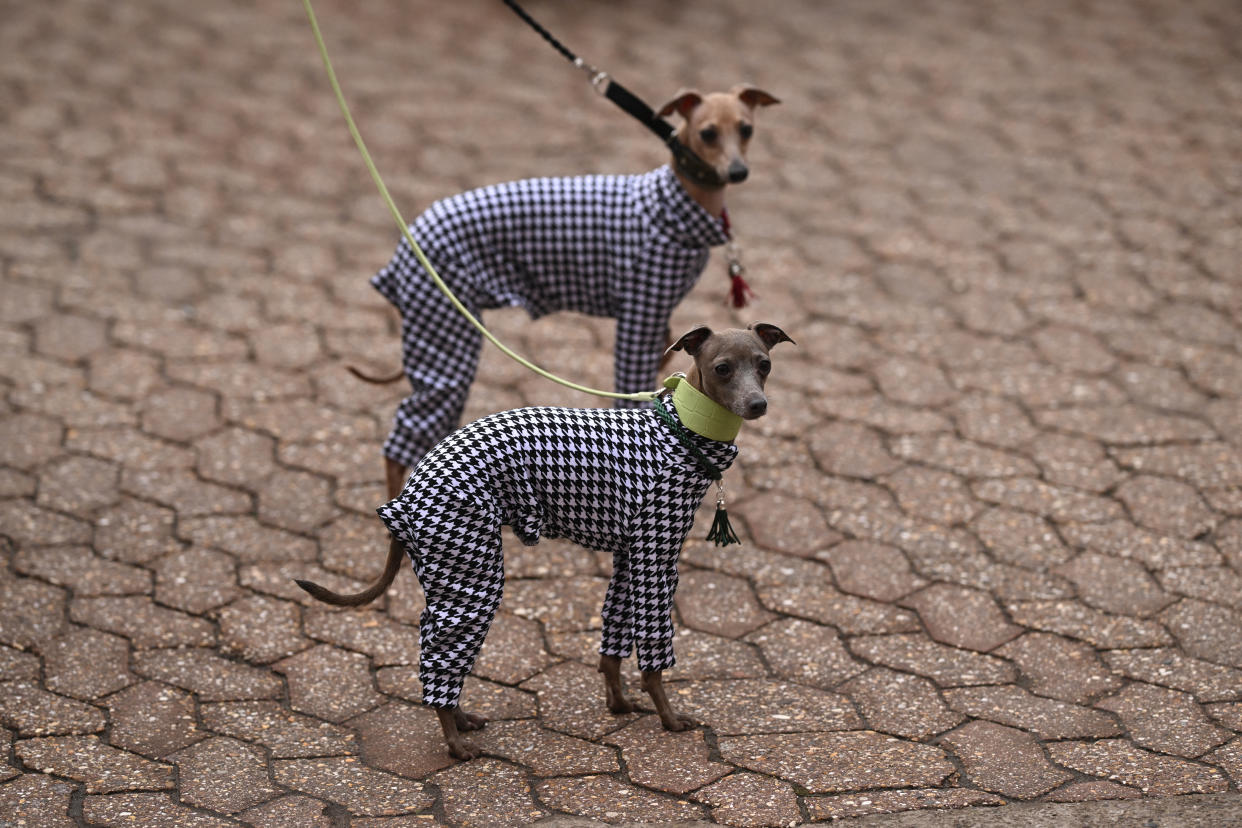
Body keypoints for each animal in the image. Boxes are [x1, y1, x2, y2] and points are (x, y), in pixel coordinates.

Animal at [295, 322, 789, 759]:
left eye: (764, 364)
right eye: (722, 368)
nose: (758, 404)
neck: (681, 428)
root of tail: (407, 494)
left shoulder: (629, 556)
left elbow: (612, 646)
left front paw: (618, 703)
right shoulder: (656, 556)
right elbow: (653, 657)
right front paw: (668, 717)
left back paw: (463, 719)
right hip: (471, 576)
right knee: (440, 661)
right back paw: (455, 743)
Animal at [350, 85, 775, 499]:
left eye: (747, 129)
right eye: (707, 133)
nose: (738, 171)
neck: (675, 204)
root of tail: (410, 238)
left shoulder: (658, 315)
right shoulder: (640, 312)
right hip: (445, 330)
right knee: (402, 440)